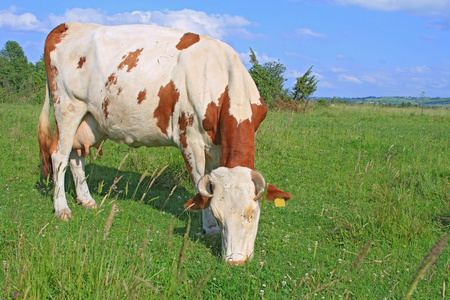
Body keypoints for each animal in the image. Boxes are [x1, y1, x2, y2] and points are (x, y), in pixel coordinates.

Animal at [38, 22, 292, 264]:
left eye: (251, 214)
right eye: (220, 216)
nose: (235, 261)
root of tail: (68, 24)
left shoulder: (218, 147)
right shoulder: (189, 139)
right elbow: (201, 184)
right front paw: (209, 228)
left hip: (90, 119)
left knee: (75, 155)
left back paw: (87, 200)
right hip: (67, 107)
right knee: (58, 156)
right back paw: (62, 208)